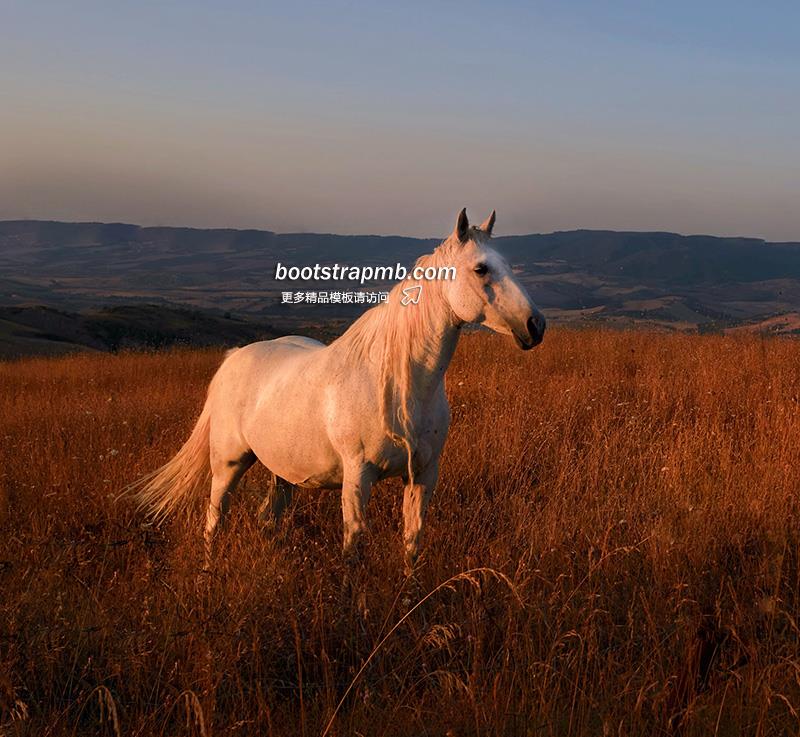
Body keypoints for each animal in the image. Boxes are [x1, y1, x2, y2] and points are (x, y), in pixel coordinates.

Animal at [130, 208, 546, 573]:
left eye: (509, 265)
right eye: (481, 268)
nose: (535, 325)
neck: (400, 386)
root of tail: (233, 358)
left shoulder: (423, 475)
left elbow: (412, 541)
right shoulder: (358, 475)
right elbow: (354, 544)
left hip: (283, 471)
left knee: (268, 517)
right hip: (228, 463)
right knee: (215, 519)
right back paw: (207, 573)